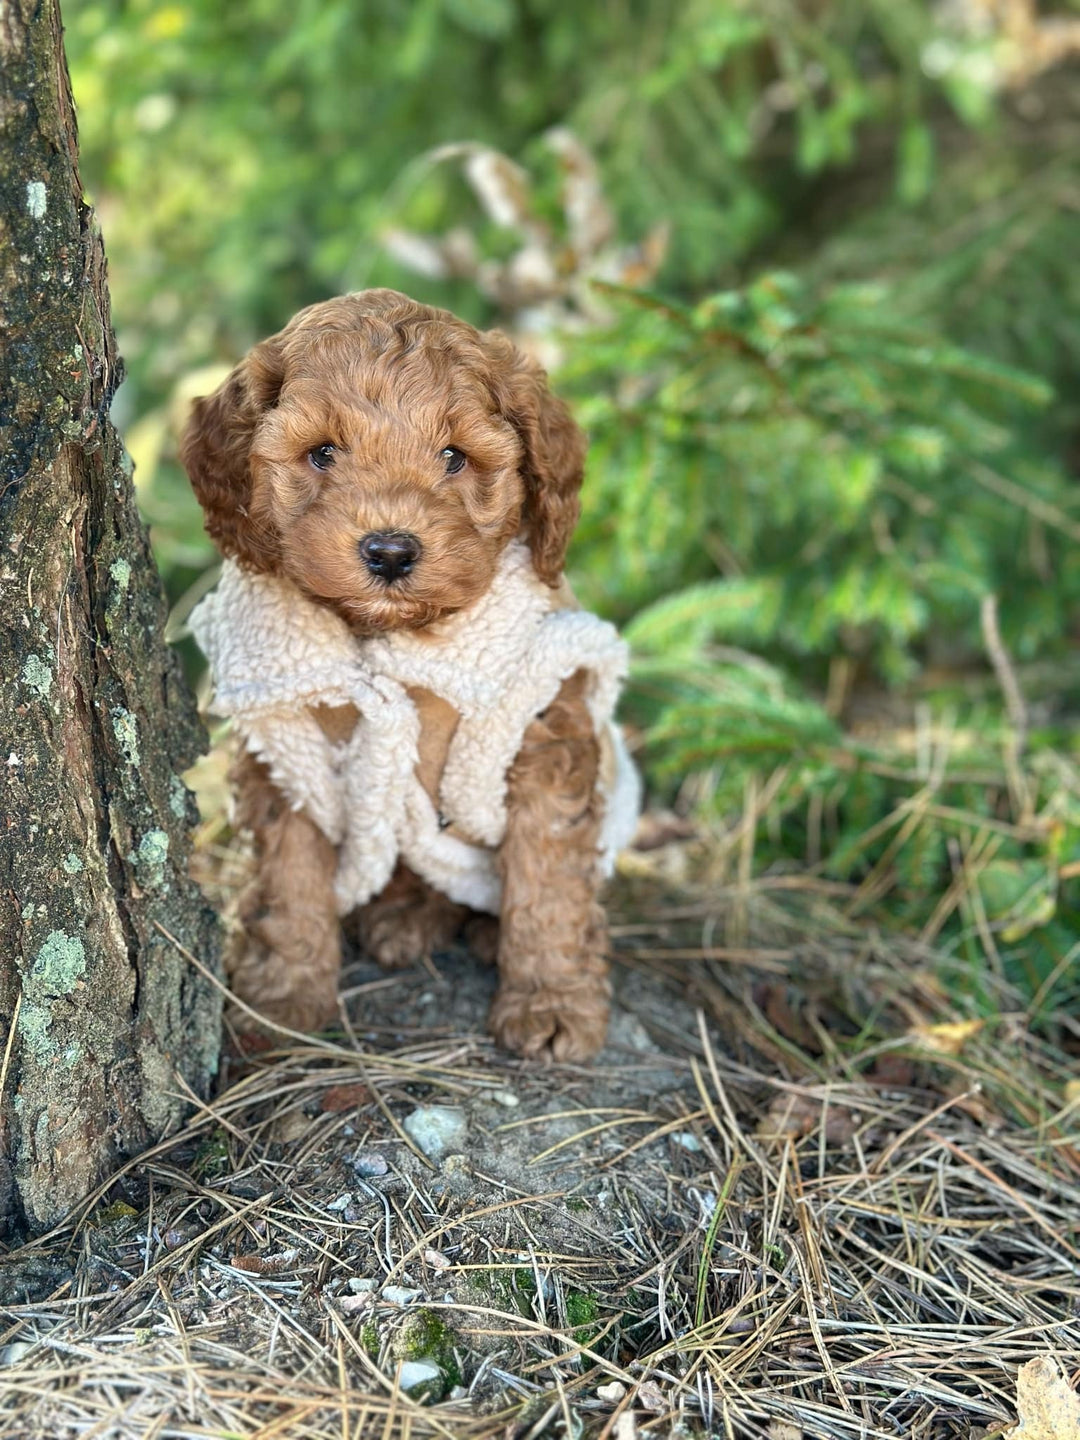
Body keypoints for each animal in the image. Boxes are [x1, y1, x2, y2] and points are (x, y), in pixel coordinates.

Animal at [180, 289, 639, 1059]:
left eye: (454, 457)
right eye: (322, 453)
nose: (390, 551)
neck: (391, 640)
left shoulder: (543, 730)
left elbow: (547, 879)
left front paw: (551, 1003)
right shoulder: (287, 751)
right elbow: (288, 881)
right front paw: (282, 998)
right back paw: (403, 917)